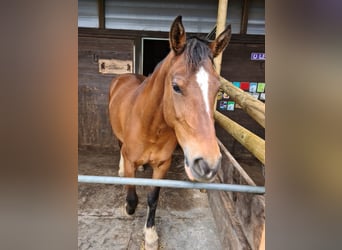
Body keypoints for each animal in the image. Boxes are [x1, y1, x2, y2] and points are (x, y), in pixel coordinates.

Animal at [109, 16, 232, 250]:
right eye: (175, 86)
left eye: (218, 89)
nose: (208, 164)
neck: (150, 127)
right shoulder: (130, 160)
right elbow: (132, 198)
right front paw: (127, 209)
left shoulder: (162, 166)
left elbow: (152, 199)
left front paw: (150, 235)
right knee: (119, 147)